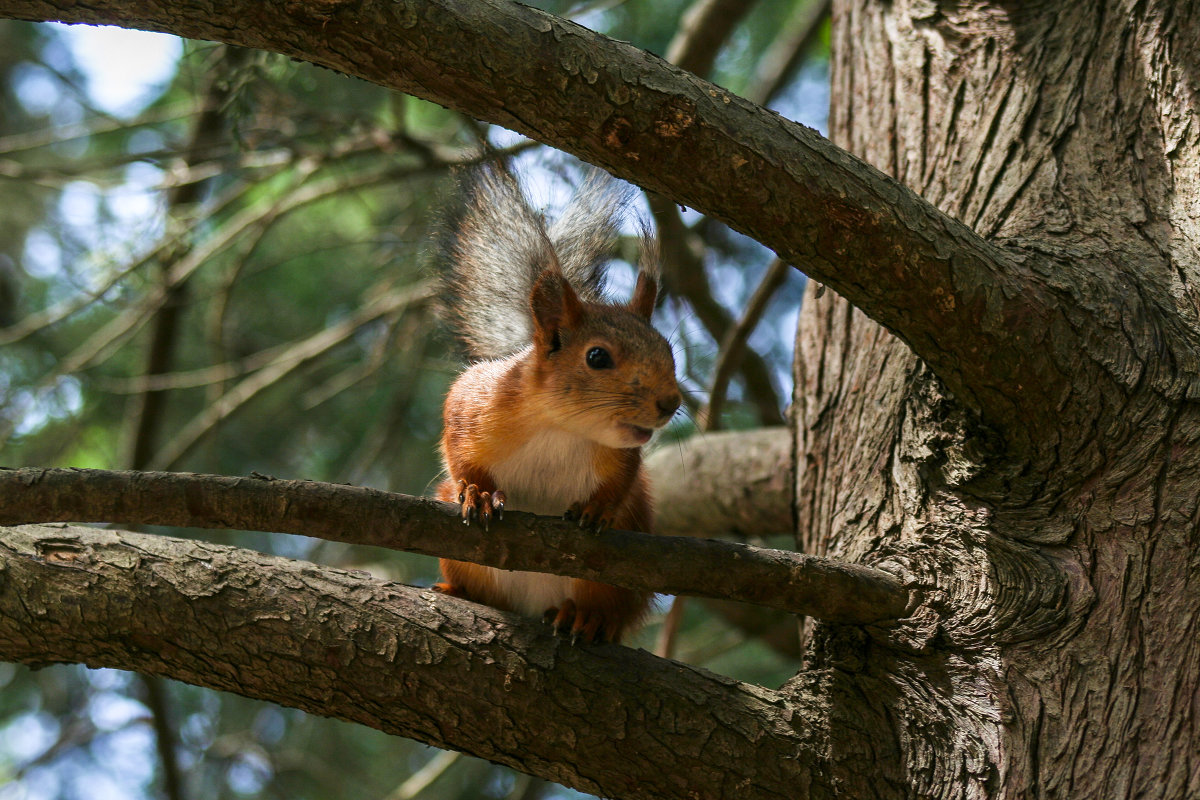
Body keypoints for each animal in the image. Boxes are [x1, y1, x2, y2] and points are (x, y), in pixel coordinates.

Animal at [432, 167, 681, 642]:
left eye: (669, 351)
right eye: (597, 357)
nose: (671, 402)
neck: (560, 429)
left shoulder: (621, 457)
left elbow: (621, 481)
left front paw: (599, 507)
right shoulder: (473, 402)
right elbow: (458, 452)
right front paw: (477, 492)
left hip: (618, 580)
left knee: (609, 608)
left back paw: (585, 617)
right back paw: (459, 592)